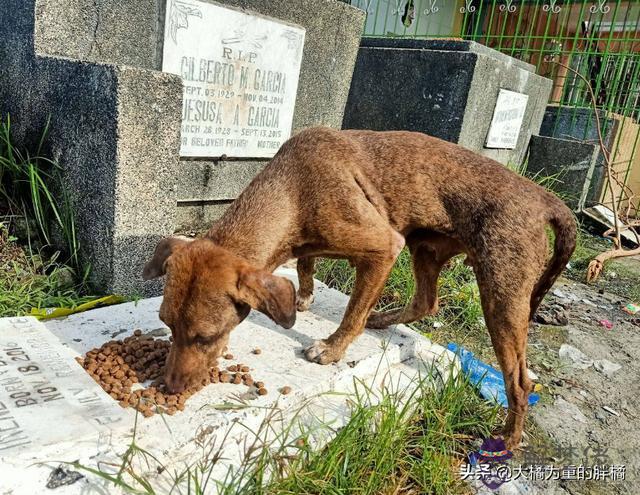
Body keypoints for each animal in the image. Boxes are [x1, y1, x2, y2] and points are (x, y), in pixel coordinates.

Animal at [146, 127, 580, 450]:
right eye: (166, 324)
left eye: (208, 337)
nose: (169, 387)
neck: (290, 189)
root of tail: (546, 199)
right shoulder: (319, 244)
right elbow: (306, 265)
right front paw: (304, 296)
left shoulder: (384, 247)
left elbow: (351, 312)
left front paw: (332, 348)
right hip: (427, 249)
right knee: (427, 302)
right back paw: (382, 318)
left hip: (501, 295)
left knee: (521, 382)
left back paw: (507, 439)